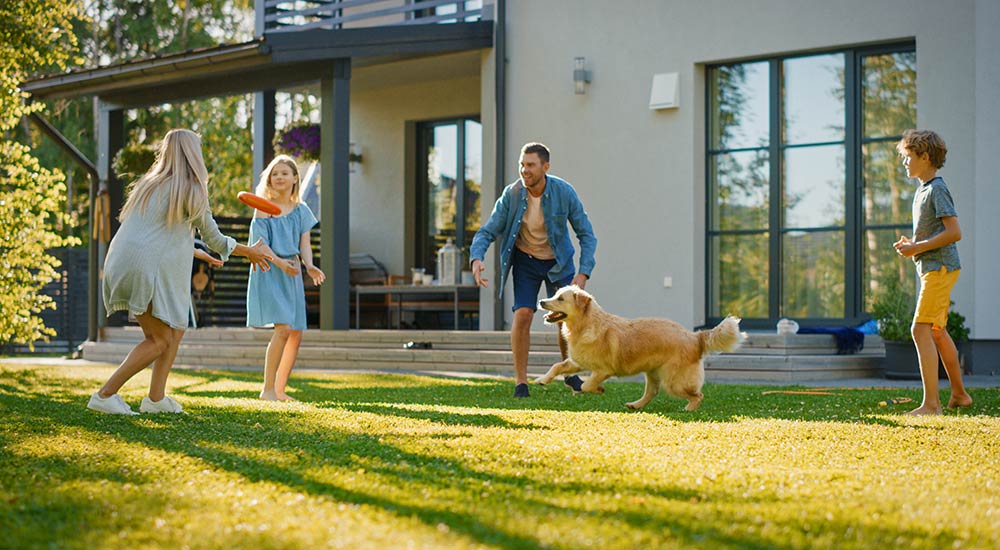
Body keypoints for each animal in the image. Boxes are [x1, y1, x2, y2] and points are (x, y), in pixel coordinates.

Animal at [540, 286, 744, 412]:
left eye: (560, 298)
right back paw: (635, 405)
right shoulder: (577, 361)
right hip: (653, 372)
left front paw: (597, 389)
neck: (586, 324)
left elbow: (586, 384)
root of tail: (694, 336)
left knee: (698, 395)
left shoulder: (603, 370)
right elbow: (557, 366)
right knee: (651, 392)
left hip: (674, 382)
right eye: (555, 295)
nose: (541, 301)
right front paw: (543, 379)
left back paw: (688, 409)